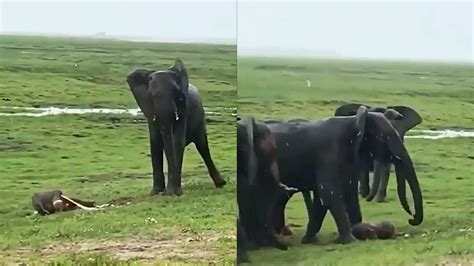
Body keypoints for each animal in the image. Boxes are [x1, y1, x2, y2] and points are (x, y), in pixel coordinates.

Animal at [264, 106, 424, 245]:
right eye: (385, 138)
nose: (412, 218)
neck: (354, 121)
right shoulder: (328, 155)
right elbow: (329, 193)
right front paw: (351, 240)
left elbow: (328, 198)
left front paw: (308, 241)